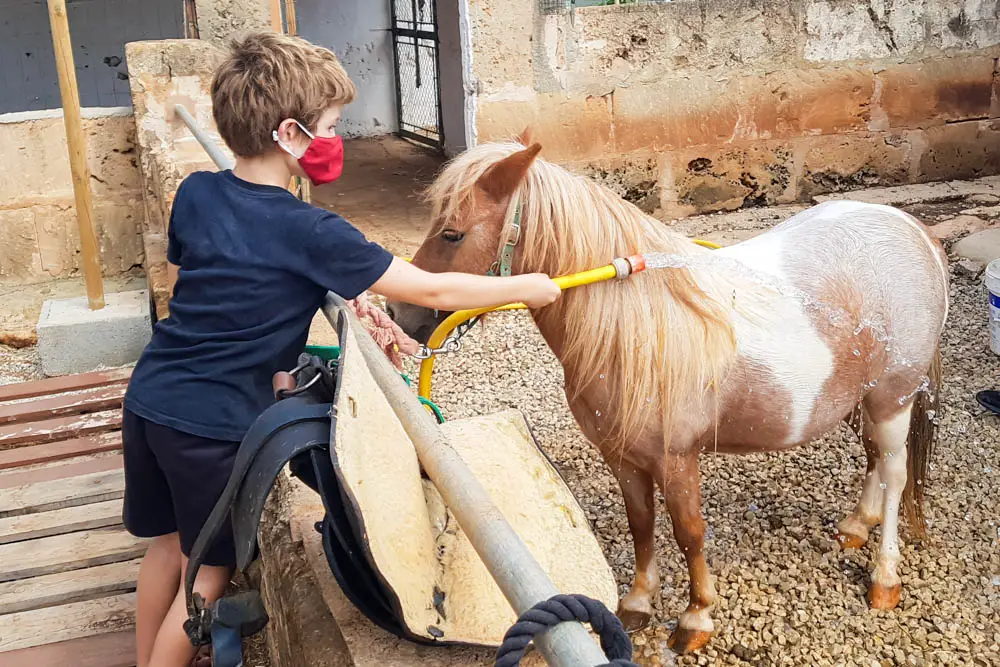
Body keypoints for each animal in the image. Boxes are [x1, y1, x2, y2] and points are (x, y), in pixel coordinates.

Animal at [386, 134, 948, 652]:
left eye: (453, 233)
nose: (398, 314)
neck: (638, 325)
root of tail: (915, 232)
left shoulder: (677, 459)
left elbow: (688, 532)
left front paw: (696, 619)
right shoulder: (622, 457)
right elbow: (641, 523)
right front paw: (638, 602)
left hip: (894, 398)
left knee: (895, 475)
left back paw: (884, 578)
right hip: (862, 400)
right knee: (874, 458)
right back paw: (855, 526)